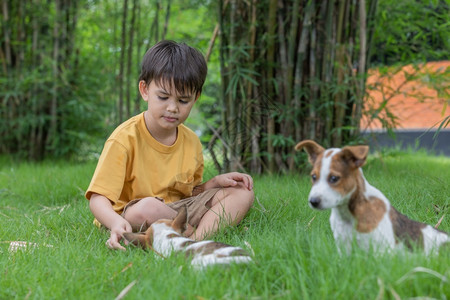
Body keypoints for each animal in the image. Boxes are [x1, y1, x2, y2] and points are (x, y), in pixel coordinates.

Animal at [298, 139, 448, 254]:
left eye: (334, 178)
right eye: (313, 177)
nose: (313, 201)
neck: (349, 213)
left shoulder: (381, 249)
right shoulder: (343, 247)